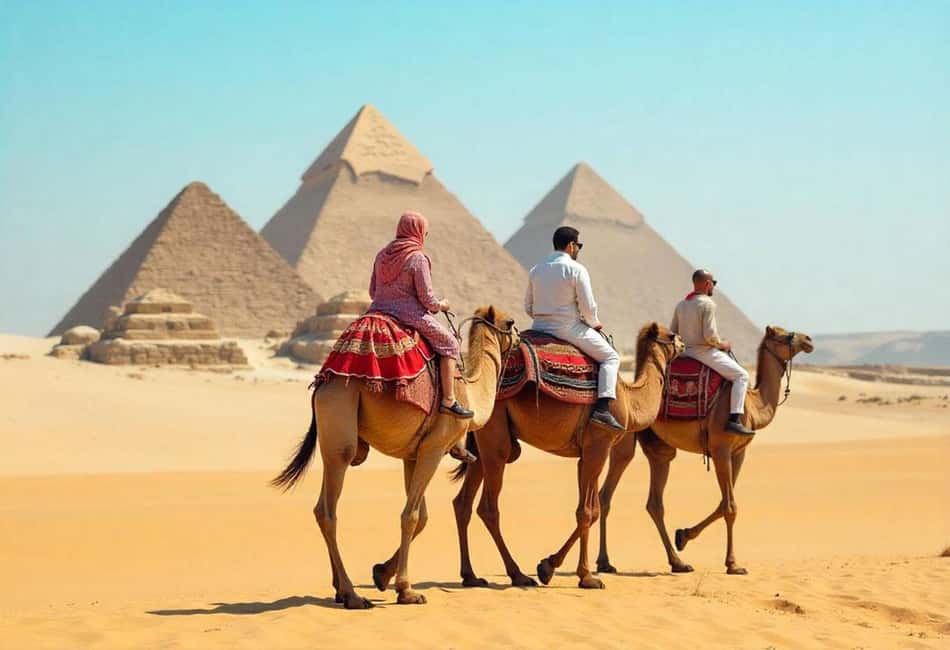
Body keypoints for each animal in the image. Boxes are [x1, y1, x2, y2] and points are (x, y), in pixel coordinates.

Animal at [272, 306, 519, 609]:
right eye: (510, 322)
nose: (520, 337)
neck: (470, 394)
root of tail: (321, 385)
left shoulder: (412, 455)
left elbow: (421, 517)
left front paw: (381, 573)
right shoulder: (434, 449)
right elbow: (410, 516)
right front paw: (407, 590)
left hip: (331, 443)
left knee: (321, 507)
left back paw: (340, 589)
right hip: (340, 423)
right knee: (330, 510)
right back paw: (353, 595)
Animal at [451, 323, 684, 589]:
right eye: (671, 335)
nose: (683, 343)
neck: (629, 399)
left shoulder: (587, 454)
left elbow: (591, 509)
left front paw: (548, 566)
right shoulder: (598, 446)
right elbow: (587, 512)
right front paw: (585, 576)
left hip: (483, 441)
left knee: (463, 502)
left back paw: (470, 576)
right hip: (496, 438)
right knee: (488, 507)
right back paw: (517, 574)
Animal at [595, 326, 814, 576]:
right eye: (783, 335)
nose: (808, 339)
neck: (752, 405)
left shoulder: (738, 452)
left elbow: (723, 503)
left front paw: (683, 535)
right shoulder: (721, 448)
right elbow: (730, 506)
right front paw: (733, 564)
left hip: (659, 448)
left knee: (654, 502)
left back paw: (676, 562)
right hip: (625, 438)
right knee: (608, 492)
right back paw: (605, 562)